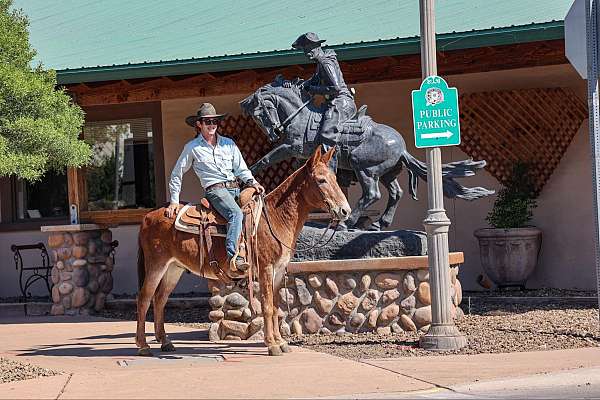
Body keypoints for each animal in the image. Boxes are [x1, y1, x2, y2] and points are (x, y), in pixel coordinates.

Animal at [135, 146, 352, 356]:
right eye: (321, 180)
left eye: (335, 179)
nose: (345, 211)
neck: (276, 218)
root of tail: (148, 216)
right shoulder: (266, 269)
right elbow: (267, 307)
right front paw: (272, 345)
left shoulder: (278, 271)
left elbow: (275, 307)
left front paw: (281, 342)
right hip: (156, 265)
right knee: (145, 298)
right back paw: (143, 345)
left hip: (173, 268)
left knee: (160, 299)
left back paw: (165, 342)